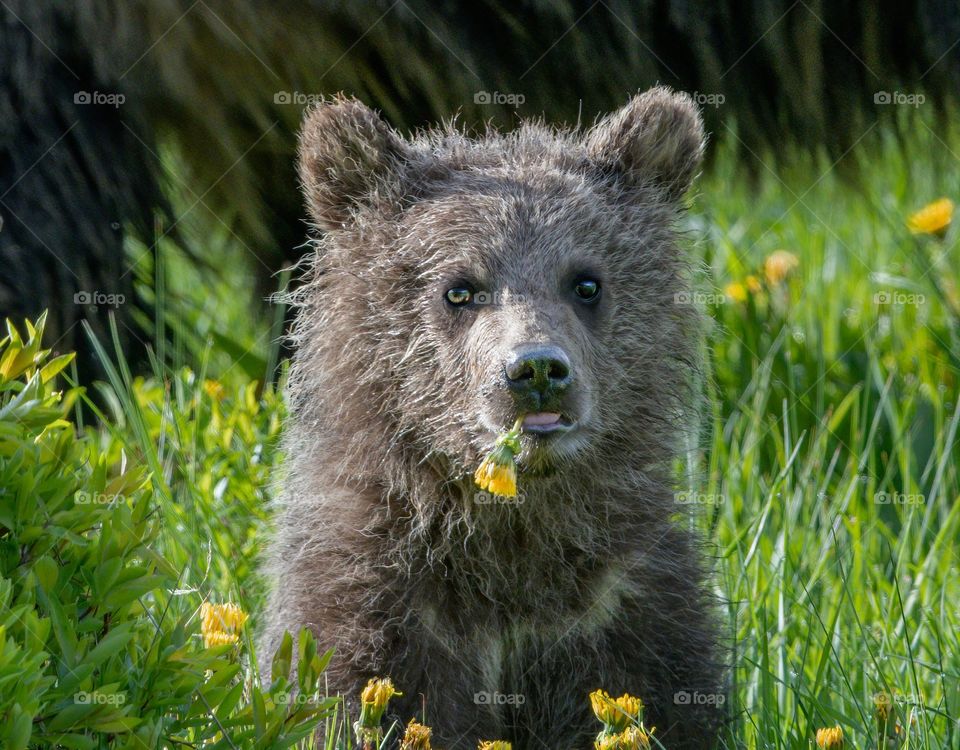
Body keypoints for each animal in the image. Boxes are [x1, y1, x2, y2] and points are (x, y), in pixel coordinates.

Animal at [261, 87, 724, 750]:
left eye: (587, 283)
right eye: (459, 289)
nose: (536, 370)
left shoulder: (624, 610)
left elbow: (659, 698)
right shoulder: (374, 608)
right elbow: (355, 701)